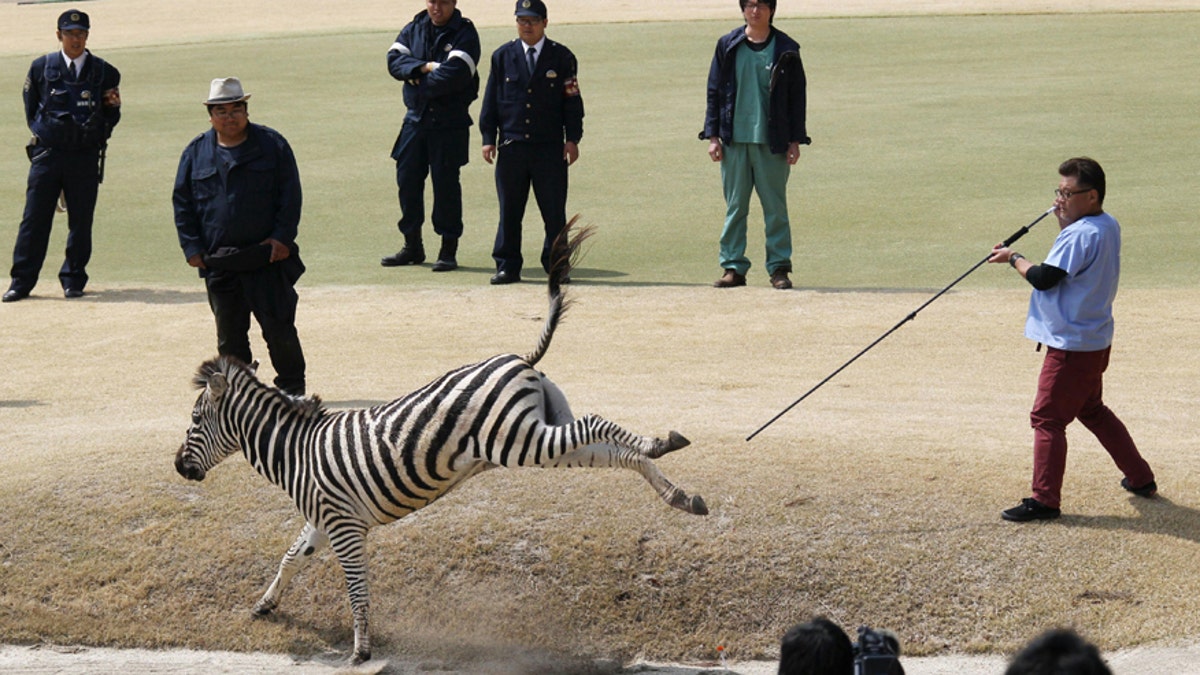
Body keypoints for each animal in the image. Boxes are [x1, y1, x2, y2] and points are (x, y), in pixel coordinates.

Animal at [174, 219, 705, 662]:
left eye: (195, 419)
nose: (179, 465)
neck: (295, 451)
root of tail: (519, 358)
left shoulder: (345, 527)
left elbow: (357, 589)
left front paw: (361, 650)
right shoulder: (324, 521)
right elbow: (289, 557)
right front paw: (266, 604)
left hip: (520, 439)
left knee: (599, 424)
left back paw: (664, 443)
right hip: (545, 435)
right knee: (615, 449)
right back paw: (679, 491)